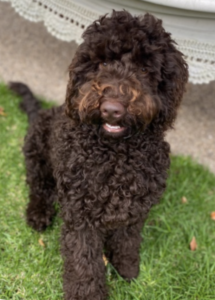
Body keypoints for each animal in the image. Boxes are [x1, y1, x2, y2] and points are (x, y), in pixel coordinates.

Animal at [10, 9, 188, 300]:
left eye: (144, 69)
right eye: (103, 63)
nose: (112, 109)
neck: (115, 155)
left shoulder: (134, 210)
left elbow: (127, 241)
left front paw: (126, 268)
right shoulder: (80, 216)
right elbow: (83, 260)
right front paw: (86, 293)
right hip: (37, 156)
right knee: (39, 188)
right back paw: (38, 213)